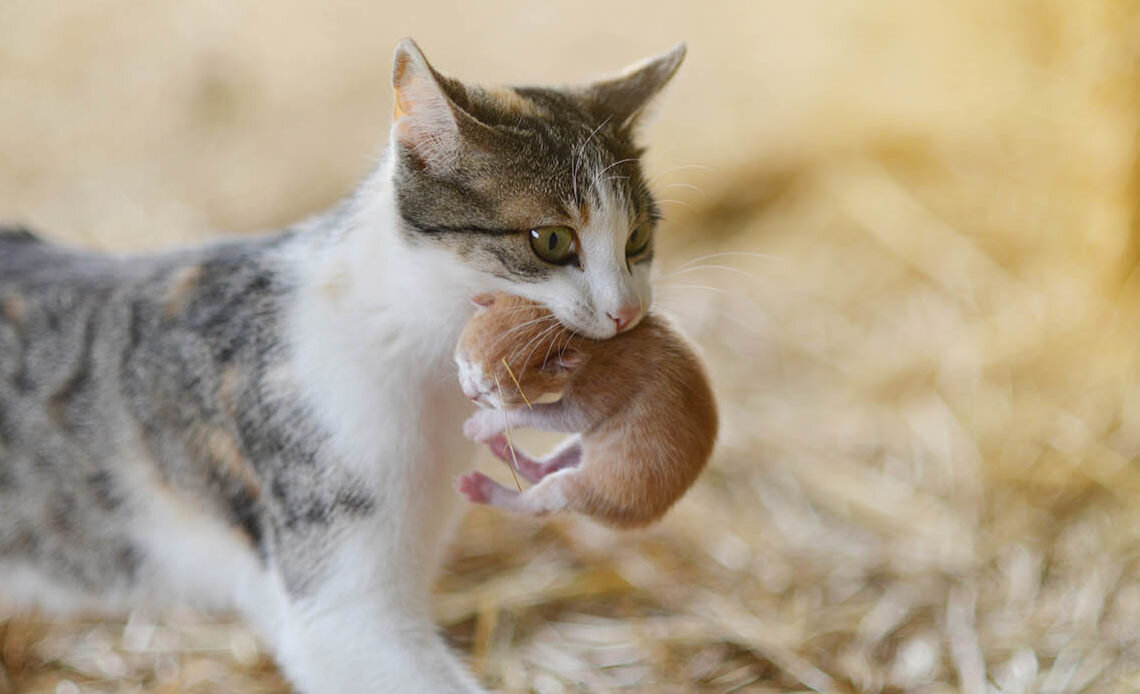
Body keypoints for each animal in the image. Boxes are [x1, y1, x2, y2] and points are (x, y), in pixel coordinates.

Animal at [451, 290, 711, 524]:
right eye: (466, 361)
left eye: (492, 389)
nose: (468, 393)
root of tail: (648, 516)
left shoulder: (608, 379)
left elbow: (565, 417)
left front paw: (481, 424)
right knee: (546, 468)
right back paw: (503, 450)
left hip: (593, 489)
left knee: (538, 501)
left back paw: (484, 489)